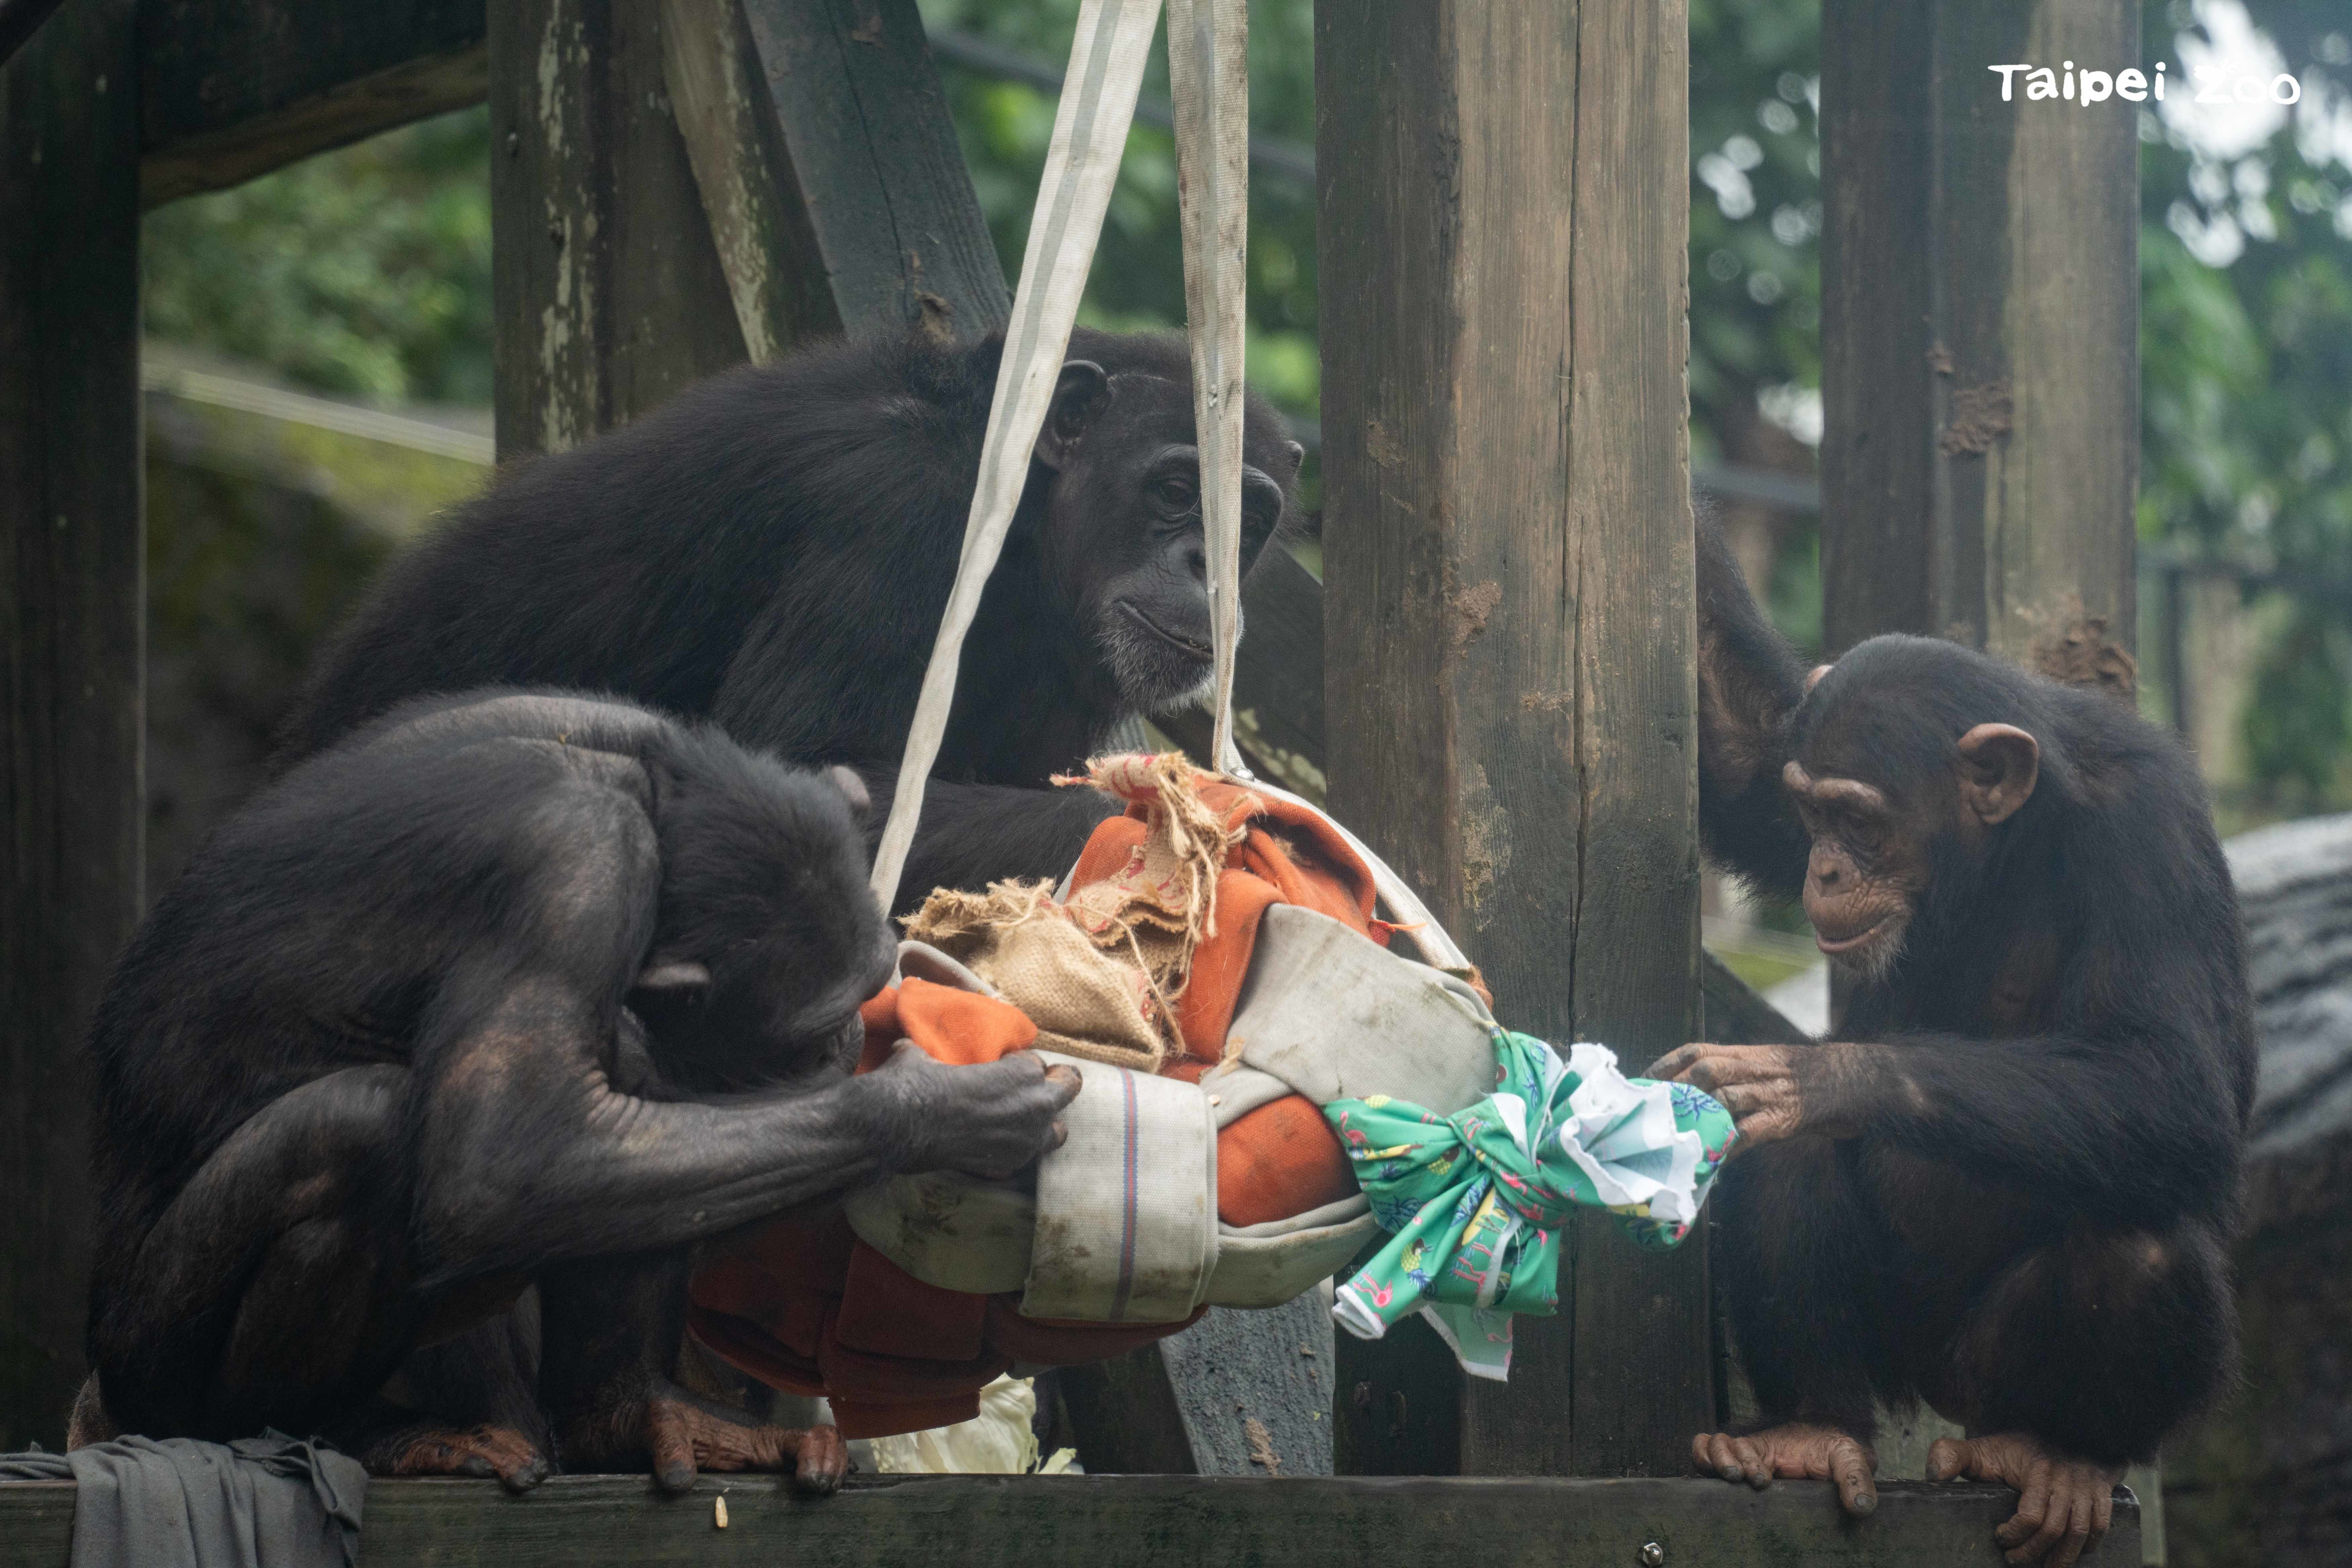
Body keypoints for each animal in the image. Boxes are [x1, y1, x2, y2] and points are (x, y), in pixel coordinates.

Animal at [83, 691, 1082, 1495]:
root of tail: (101, 1405)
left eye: (874, 983)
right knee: (370, 1124)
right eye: (817, 1026)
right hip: (157, 1370)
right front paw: (941, 1114)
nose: (845, 1045)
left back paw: (630, 1420)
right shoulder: (572, 872)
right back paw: (381, 1434)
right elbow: (500, 1163)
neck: (653, 804)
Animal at [280, 327, 1308, 804]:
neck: (1020, 536)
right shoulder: (894, 518)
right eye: (1178, 489)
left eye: (1248, 522)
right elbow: (805, 772)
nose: (1206, 560)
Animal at [1656, 522, 2258, 1561]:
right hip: (1887, 1349)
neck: (2003, 850)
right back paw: (1813, 1430)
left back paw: (2053, 1455)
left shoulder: (2154, 832)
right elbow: (1738, 757)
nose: (1824, 868)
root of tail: (1930, 1405)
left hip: (1978, 1373)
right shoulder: (1779, 765)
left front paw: (1812, 1076)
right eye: (1812, 814)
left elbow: (2174, 1078)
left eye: (1860, 820)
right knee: (1788, 1162)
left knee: (2137, 1252)